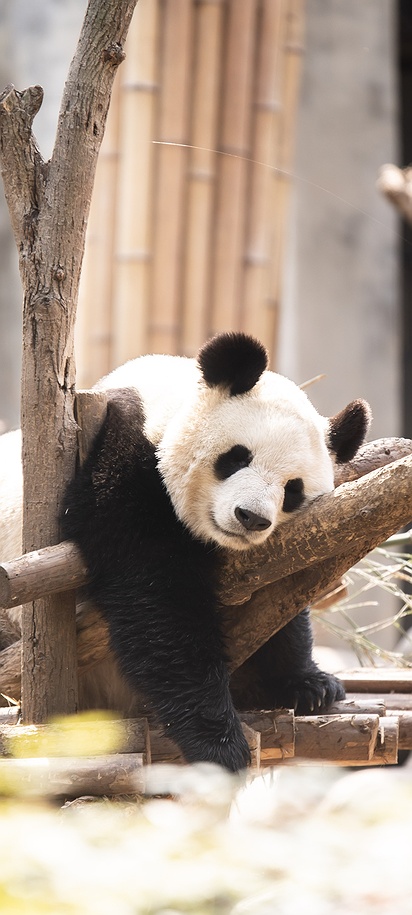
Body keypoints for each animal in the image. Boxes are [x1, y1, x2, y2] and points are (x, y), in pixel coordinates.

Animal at [56, 331, 370, 772]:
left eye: (293, 490)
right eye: (237, 457)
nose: (251, 518)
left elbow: (279, 601)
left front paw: (311, 684)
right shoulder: (122, 467)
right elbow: (159, 603)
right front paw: (220, 743)